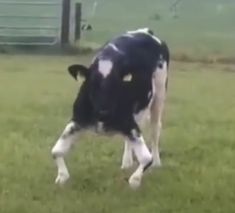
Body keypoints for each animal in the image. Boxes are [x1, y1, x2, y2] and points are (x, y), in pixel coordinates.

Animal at [51, 27, 169, 188]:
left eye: (117, 84)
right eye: (92, 83)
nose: (104, 112)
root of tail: (145, 31)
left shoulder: (129, 123)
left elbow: (146, 158)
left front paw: (135, 181)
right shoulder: (77, 121)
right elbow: (56, 151)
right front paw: (62, 177)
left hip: (159, 94)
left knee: (155, 129)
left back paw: (157, 161)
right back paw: (126, 162)